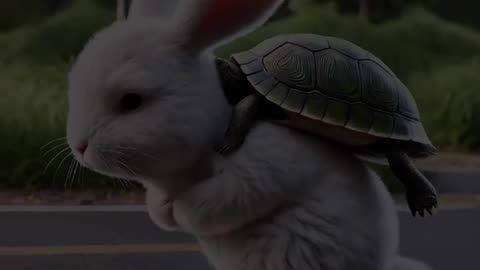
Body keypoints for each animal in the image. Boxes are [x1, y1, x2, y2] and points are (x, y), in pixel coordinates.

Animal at [66, 0, 432, 270]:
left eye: (132, 101)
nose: (80, 147)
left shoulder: (261, 167)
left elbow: (224, 199)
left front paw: (180, 211)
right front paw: (162, 211)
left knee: (398, 152)